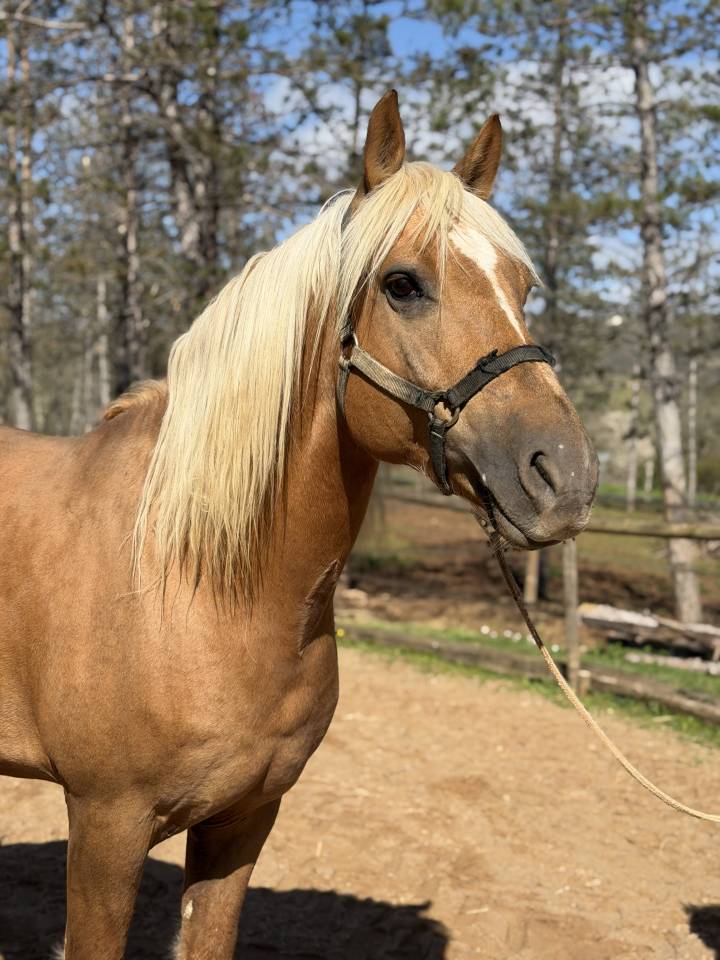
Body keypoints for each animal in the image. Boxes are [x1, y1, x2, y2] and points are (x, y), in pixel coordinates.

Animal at [0, 91, 597, 959]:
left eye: (521, 285)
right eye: (403, 284)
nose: (565, 476)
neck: (203, 587)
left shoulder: (244, 820)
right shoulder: (106, 826)